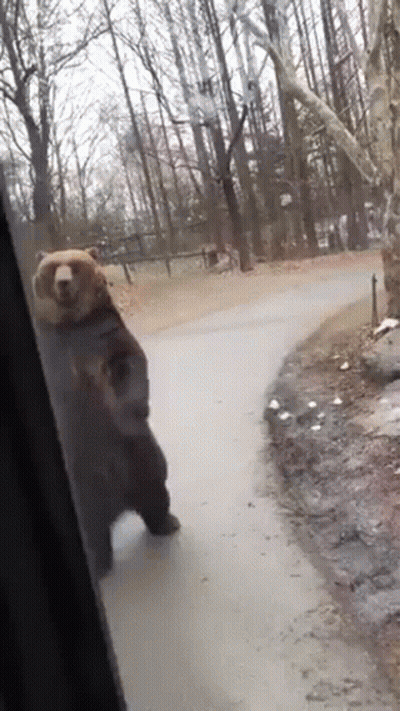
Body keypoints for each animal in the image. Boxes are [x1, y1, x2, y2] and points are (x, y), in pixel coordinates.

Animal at [32, 247, 180, 581]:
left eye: (74, 265)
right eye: (52, 267)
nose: (63, 283)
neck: (72, 324)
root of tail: (119, 504)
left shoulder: (105, 336)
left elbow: (130, 362)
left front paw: (137, 407)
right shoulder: (54, 348)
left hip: (140, 454)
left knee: (155, 484)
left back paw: (166, 522)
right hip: (84, 480)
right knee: (93, 524)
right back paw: (98, 562)